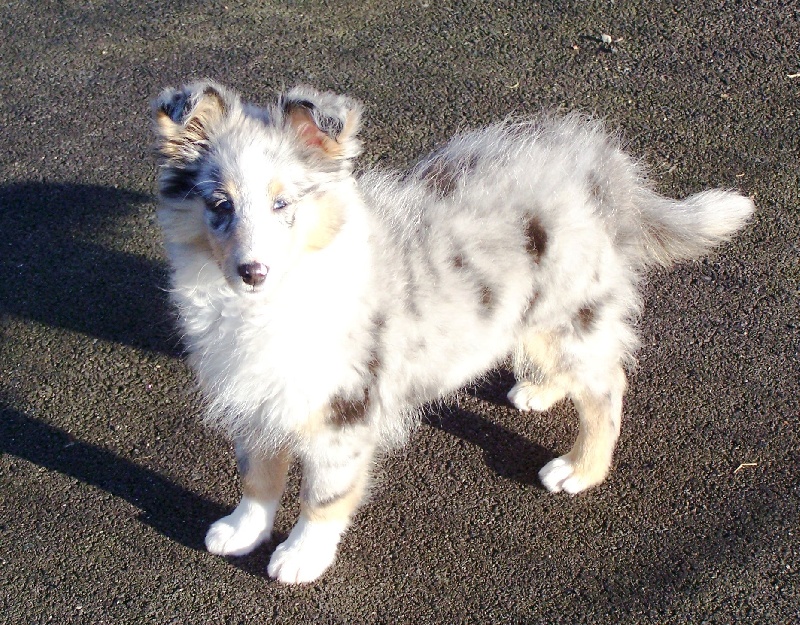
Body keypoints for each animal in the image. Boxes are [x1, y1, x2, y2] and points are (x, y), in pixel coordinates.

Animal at [151, 80, 753, 584]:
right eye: (219, 204)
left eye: (284, 204)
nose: (253, 272)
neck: (270, 306)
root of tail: (603, 165)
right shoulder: (257, 395)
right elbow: (257, 475)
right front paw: (241, 530)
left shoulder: (345, 410)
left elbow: (324, 494)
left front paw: (301, 557)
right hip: (530, 309)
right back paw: (540, 390)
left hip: (574, 311)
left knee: (607, 388)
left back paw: (580, 470)